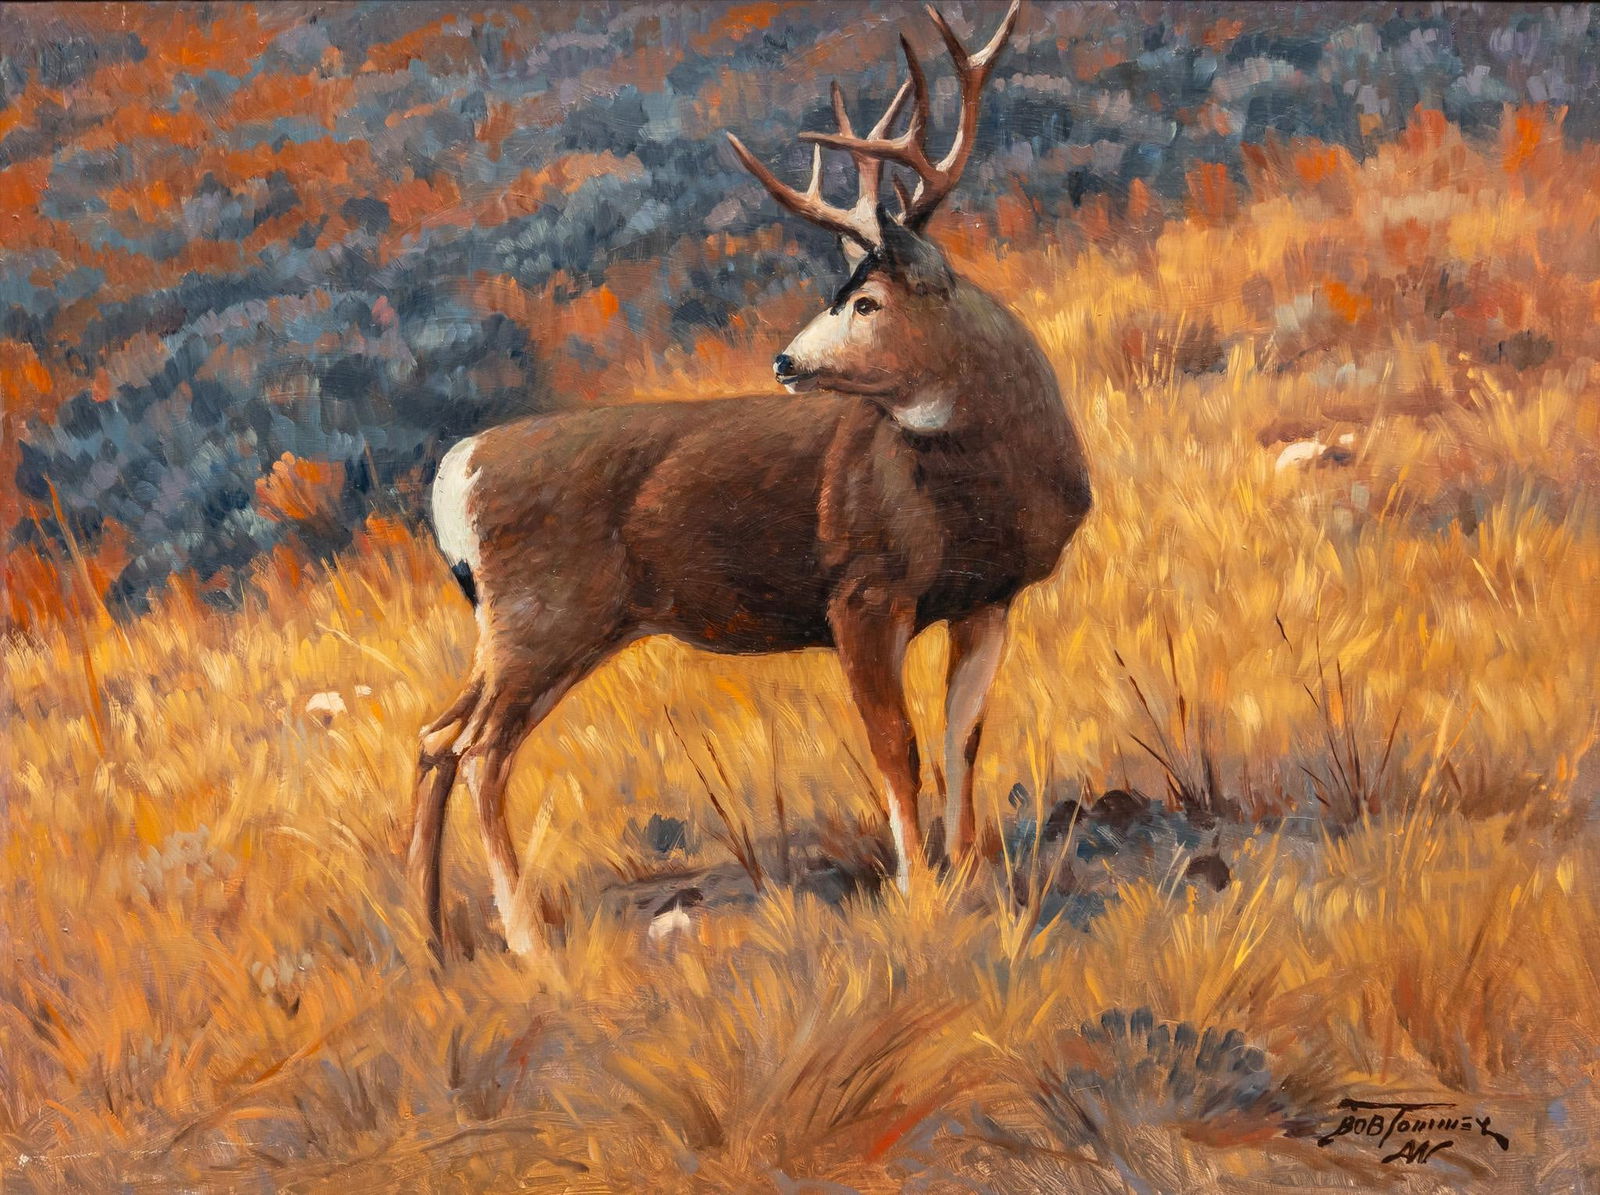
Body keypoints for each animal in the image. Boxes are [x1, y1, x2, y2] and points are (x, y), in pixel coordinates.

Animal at [408, 0, 1091, 957]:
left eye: (866, 300)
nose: (786, 360)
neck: (981, 494)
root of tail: (453, 472)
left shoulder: (990, 596)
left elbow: (964, 735)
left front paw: (970, 871)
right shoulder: (863, 589)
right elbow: (898, 744)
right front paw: (920, 891)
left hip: (521, 629)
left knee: (436, 734)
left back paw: (431, 934)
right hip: (541, 615)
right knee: (478, 751)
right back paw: (529, 940)